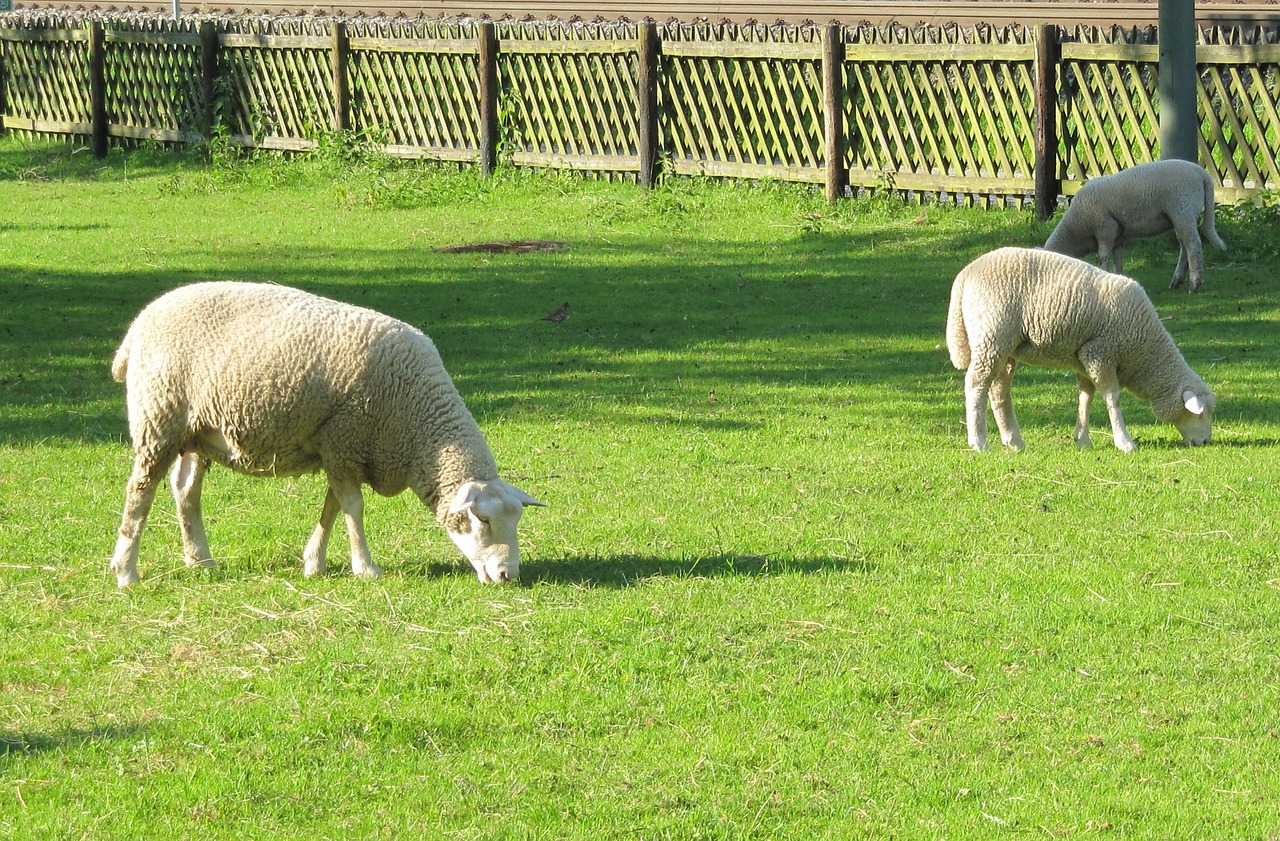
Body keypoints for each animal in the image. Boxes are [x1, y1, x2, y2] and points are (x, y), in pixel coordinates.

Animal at [110, 279, 545, 586]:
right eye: (482, 520)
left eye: (516, 520)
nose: (508, 575)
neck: (419, 425)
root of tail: (139, 325)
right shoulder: (344, 439)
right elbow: (353, 507)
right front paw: (365, 567)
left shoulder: (341, 448)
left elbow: (333, 507)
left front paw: (314, 563)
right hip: (159, 418)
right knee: (140, 491)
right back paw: (126, 572)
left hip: (196, 433)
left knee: (185, 490)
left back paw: (200, 560)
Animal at [947, 245, 1213, 453]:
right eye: (1201, 414)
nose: (1206, 442)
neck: (1144, 352)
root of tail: (965, 275)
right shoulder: (1101, 352)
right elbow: (1112, 397)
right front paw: (1124, 442)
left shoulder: (1085, 357)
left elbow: (1086, 396)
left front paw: (1082, 439)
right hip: (992, 335)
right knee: (977, 384)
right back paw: (979, 441)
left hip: (1005, 345)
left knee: (999, 388)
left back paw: (1013, 441)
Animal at [1039, 160, 1228, 291]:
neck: (1076, 228)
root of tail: (1202, 174)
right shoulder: (1118, 237)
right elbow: (1118, 258)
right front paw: (1118, 276)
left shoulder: (1105, 228)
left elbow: (1103, 256)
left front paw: (1103, 272)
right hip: (1180, 216)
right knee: (1184, 246)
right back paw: (1177, 281)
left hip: (1183, 209)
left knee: (1193, 245)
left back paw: (1195, 284)